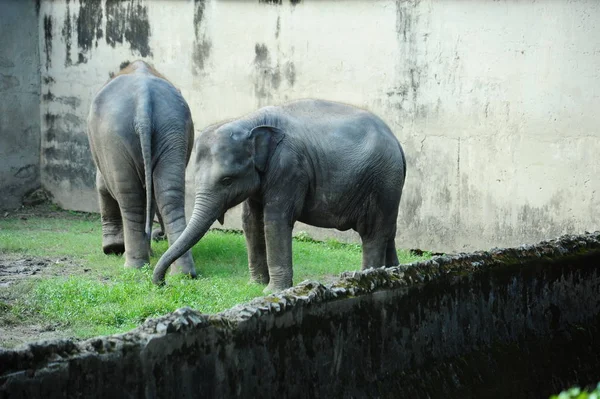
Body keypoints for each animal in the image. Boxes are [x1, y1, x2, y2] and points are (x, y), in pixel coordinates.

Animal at [88, 60, 195, 278]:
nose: (158, 235)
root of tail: (143, 101)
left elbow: (102, 185)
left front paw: (111, 249)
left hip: (113, 138)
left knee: (130, 198)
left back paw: (133, 266)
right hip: (171, 129)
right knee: (169, 194)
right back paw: (183, 274)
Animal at [152, 99, 406, 294]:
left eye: (227, 180)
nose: (163, 283)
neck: (249, 121)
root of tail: (398, 142)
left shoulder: (289, 168)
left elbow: (274, 221)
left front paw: (272, 291)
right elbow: (251, 222)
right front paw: (255, 285)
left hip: (383, 181)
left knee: (373, 232)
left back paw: (367, 277)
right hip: (389, 186)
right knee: (388, 231)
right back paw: (395, 272)